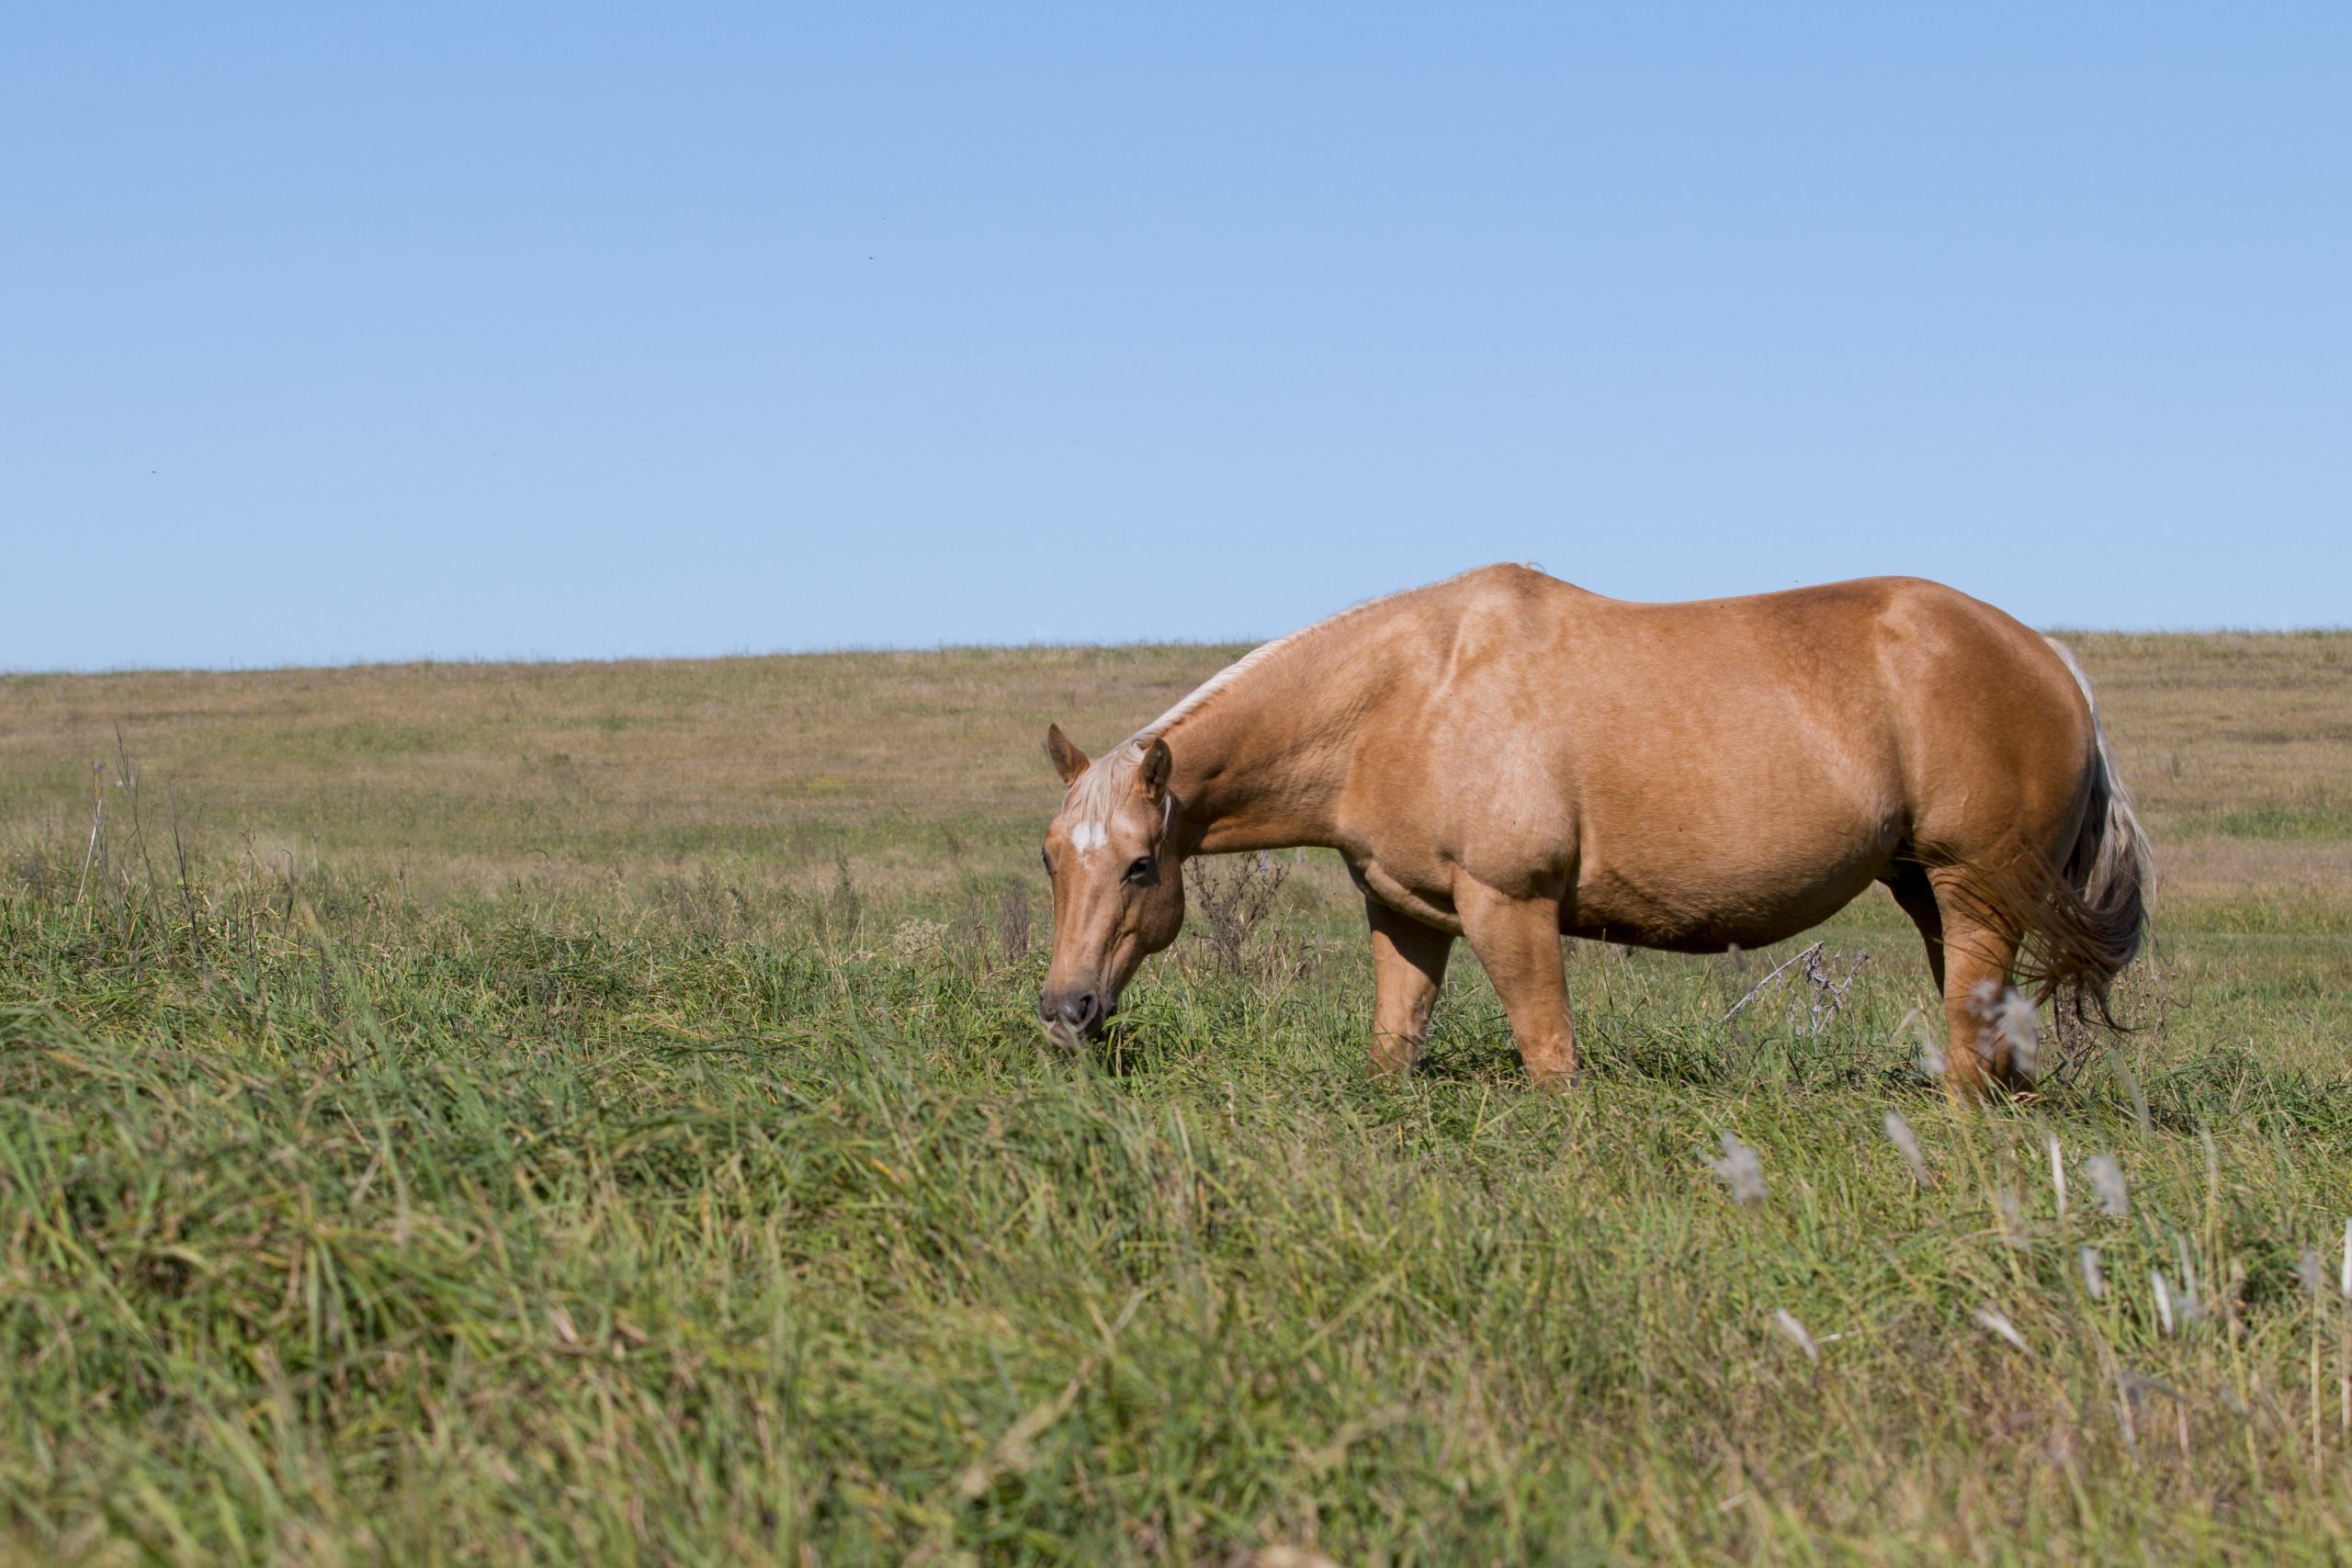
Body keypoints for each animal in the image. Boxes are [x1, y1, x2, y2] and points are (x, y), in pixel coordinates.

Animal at [1044, 564, 2154, 1090]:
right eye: (1053, 861)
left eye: (1139, 866)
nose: (1065, 1009)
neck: (1406, 696)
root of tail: (2053, 662)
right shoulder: (1409, 917)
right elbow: (1392, 1051)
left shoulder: (1510, 909)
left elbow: (1552, 1060)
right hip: (1932, 893)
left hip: (1975, 892)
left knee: (1972, 1052)